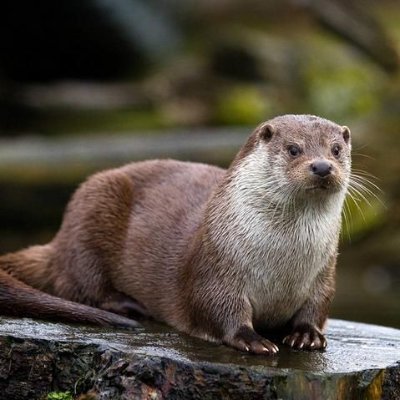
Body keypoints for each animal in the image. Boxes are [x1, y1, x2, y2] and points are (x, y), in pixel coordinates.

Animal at [0, 115, 350, 354]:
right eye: (293, 149)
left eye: (336, 150)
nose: (322, 166)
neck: (283, 264)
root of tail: (58, 243)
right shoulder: (214, 267)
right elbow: (217, 307)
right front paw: (253, 339)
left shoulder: (324, 274)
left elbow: (317, 306)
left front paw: (306, 335)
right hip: (91, 209)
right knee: (78, 283)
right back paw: (127, 305)